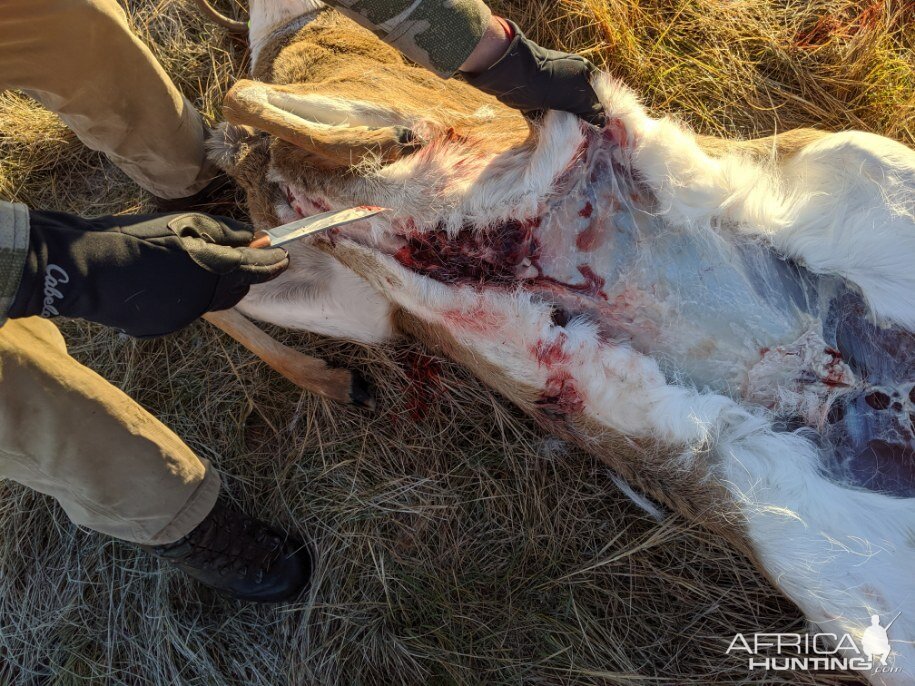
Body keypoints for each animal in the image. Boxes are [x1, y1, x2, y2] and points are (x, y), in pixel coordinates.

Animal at [208, 4, 915, 684]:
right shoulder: (364, 303)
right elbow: (236, 275)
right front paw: (333, 374)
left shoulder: (385, 102)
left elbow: (252, 102)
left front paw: (363, 146)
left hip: (867, 163)